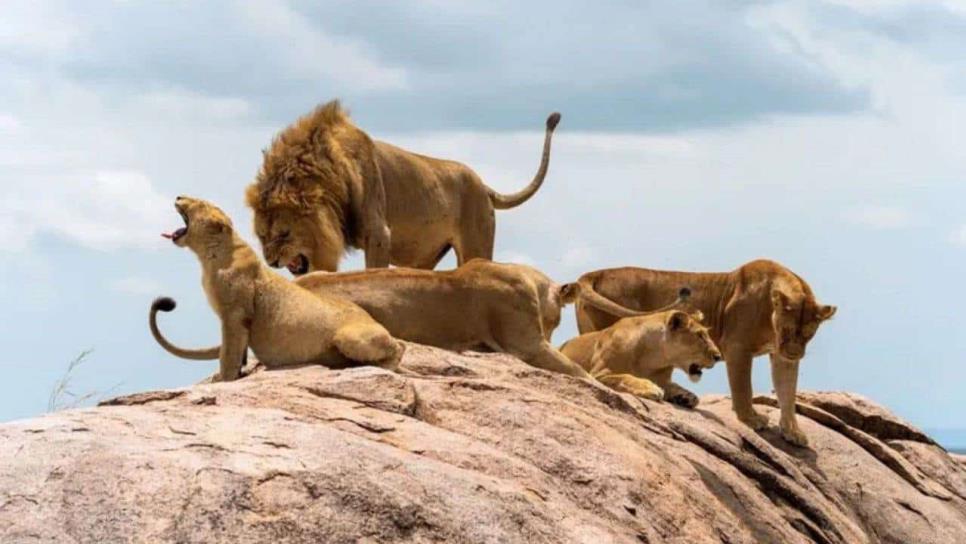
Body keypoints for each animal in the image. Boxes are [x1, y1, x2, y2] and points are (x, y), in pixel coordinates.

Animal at [148, 197, 404, 382]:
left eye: (199, 203)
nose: (179, 196)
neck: (209, 255)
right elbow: (238, 352)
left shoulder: (234, 314)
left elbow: (229, 353)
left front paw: (222, 380)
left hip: (349, 336)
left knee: (399, 348)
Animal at [248, 98, 560, 274]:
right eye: (262, 236)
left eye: (285, 233)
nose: (271, 262)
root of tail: (484, 186)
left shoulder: (379, 234)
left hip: (476, 244)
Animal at [560, 310, 720, 408]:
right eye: (700, 335)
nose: (718, 357)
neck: (654, 358)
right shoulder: (598, 374)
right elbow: (625, 377)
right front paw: (650, 388)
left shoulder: (663, 379)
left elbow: (675, 386)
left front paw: (686, 396)